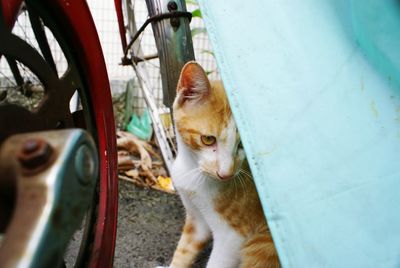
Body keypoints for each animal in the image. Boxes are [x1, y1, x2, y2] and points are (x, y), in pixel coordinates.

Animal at [166, 61, 278, 266]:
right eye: (208, 139)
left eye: (243, 145)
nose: (226, 174)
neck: (192, 169)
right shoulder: (197, 222)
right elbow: (183, 251)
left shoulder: (232, 237)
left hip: (263, 244)